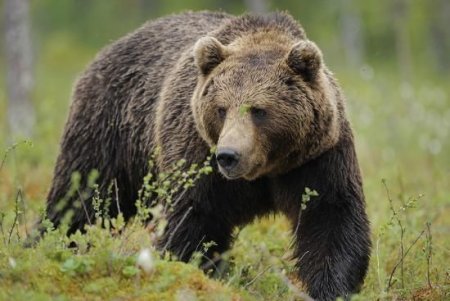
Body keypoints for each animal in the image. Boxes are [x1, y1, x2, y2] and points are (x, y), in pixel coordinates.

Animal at [44, 10, 370, 298]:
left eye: (259, 110)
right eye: (222, 108)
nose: (228, 155)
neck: (265, 170)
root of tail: (110, 47)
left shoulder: (318, 157)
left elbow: (330, 217)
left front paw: (331, 288)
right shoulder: (196, 154)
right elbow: (193, 219)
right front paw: (195, 273)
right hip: (109, 129)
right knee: (79, 198)